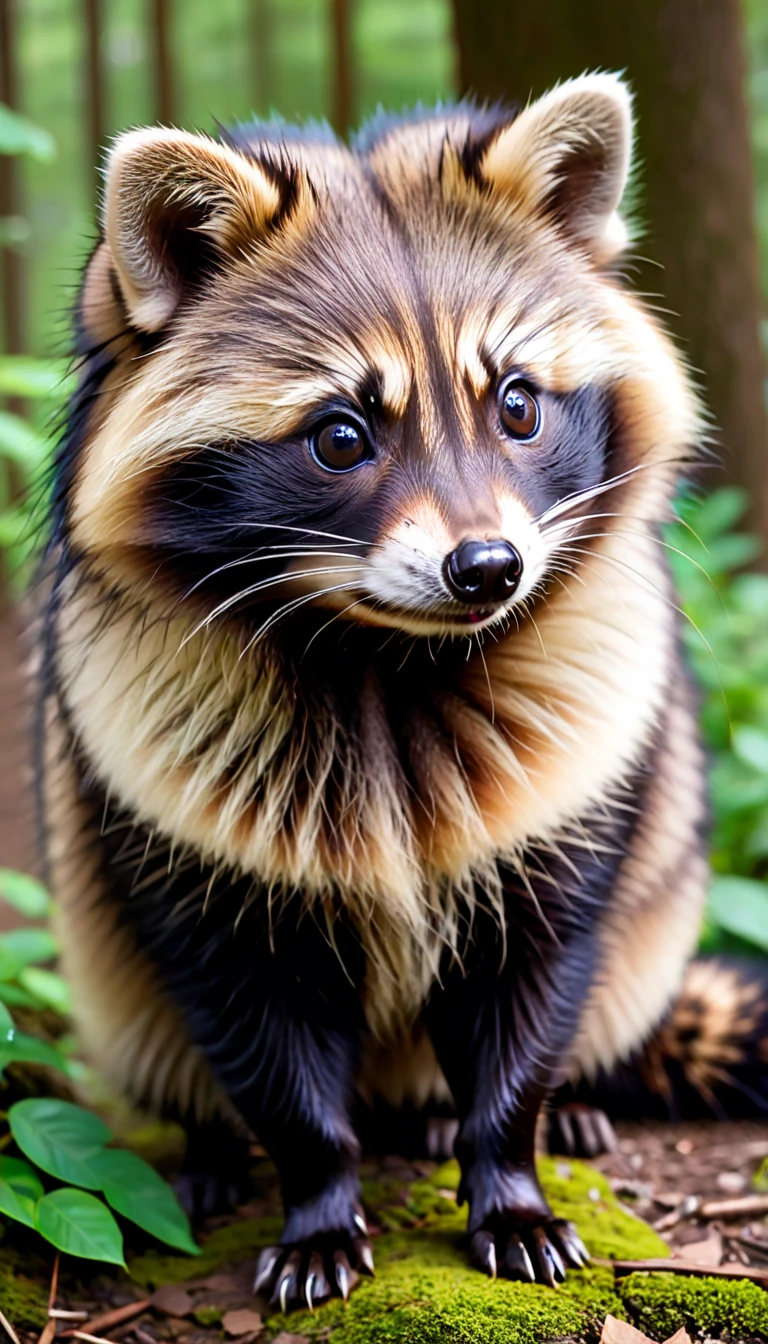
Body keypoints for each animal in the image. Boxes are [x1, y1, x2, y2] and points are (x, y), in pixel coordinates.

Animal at [37, 70, 710, 1300]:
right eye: (342, 436)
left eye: (518, 406)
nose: (489, 570)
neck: (389, 649)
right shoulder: (178, 824)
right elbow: (260, 1033)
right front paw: (316, 1199)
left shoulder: (571, 791)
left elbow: (535, 984)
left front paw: (509, 1168)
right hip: (104, 946)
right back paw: (205, 1146)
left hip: (658, 895)